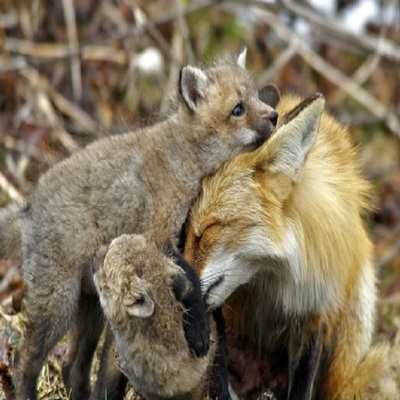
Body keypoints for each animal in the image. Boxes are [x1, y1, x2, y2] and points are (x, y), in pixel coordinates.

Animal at [183, 94, 376, 400]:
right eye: (183, 231)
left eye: (208, 230)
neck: (272, 277)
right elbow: (218, 375)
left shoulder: (317, 309)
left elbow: (303, 388)